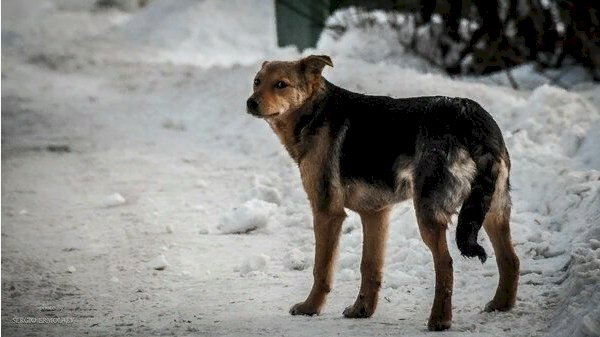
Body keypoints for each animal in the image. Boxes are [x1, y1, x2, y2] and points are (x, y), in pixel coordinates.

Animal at [246, 55, 516, 330]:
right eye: (257, 82)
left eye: (281, 84)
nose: (250, 102)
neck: (314, 111)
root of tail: (470, 117)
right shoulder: (375, 213)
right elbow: (370, 266)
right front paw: (362, 309)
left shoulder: (326, 212)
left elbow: (321, 269)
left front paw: (310, 308)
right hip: (491, 209)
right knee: (510, 259)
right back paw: (501, 305)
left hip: (429, 213)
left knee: (446, 264)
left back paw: (439, 319)